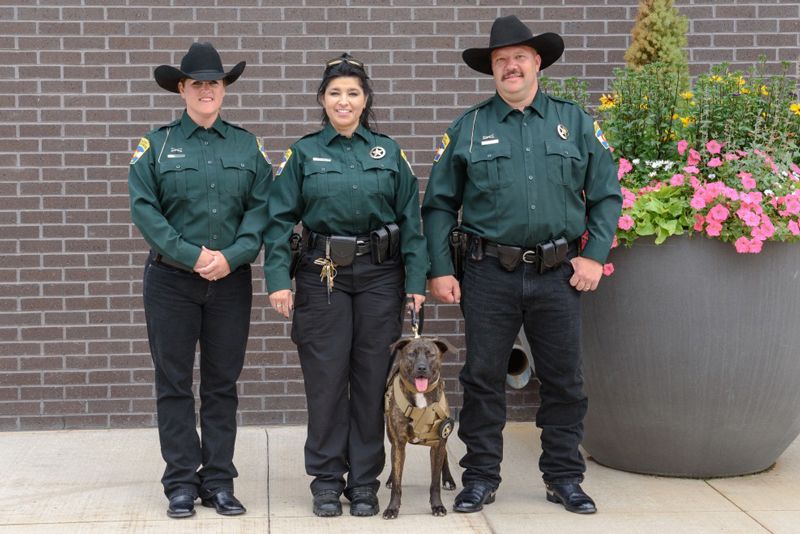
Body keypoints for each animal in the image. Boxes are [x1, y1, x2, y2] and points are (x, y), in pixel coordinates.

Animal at [382, 340, 456, 520]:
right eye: (411, 354)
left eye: (430, 354)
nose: (421, 368)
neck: (420, 394)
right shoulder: (398, 443)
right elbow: (397, 481)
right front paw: (392, 508)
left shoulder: (438, 443)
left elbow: (435, 482)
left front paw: (437, 506)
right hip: (390, 435)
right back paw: (390, 480)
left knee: (445, 456)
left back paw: (448, 479)